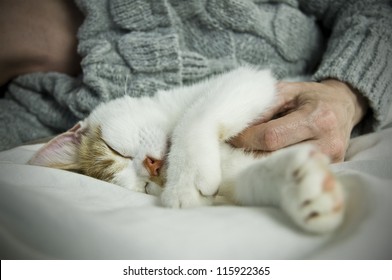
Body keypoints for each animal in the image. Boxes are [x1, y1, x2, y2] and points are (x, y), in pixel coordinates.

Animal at [29, 67, 344, 234]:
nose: (152, 167)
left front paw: (185, 179)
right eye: (145, 187)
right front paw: (303, 187)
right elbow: (250, 179)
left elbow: (195, 115)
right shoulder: (233, 175)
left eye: (115, 150)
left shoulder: (249, 80)